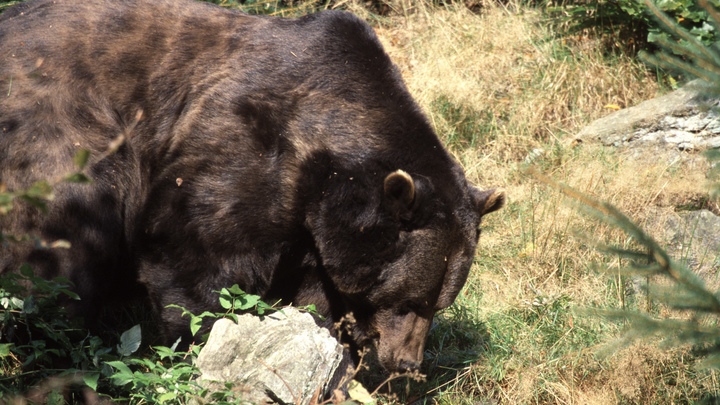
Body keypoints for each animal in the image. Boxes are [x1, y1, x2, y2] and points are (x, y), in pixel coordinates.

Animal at [0, 0, 506, 374]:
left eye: (439, 303)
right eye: (409, 301)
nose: (406, 363)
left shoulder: (313, 228)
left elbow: (317, 298)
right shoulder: (238, 150)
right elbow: (193, 257)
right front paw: (203, 342)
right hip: (56, 132)